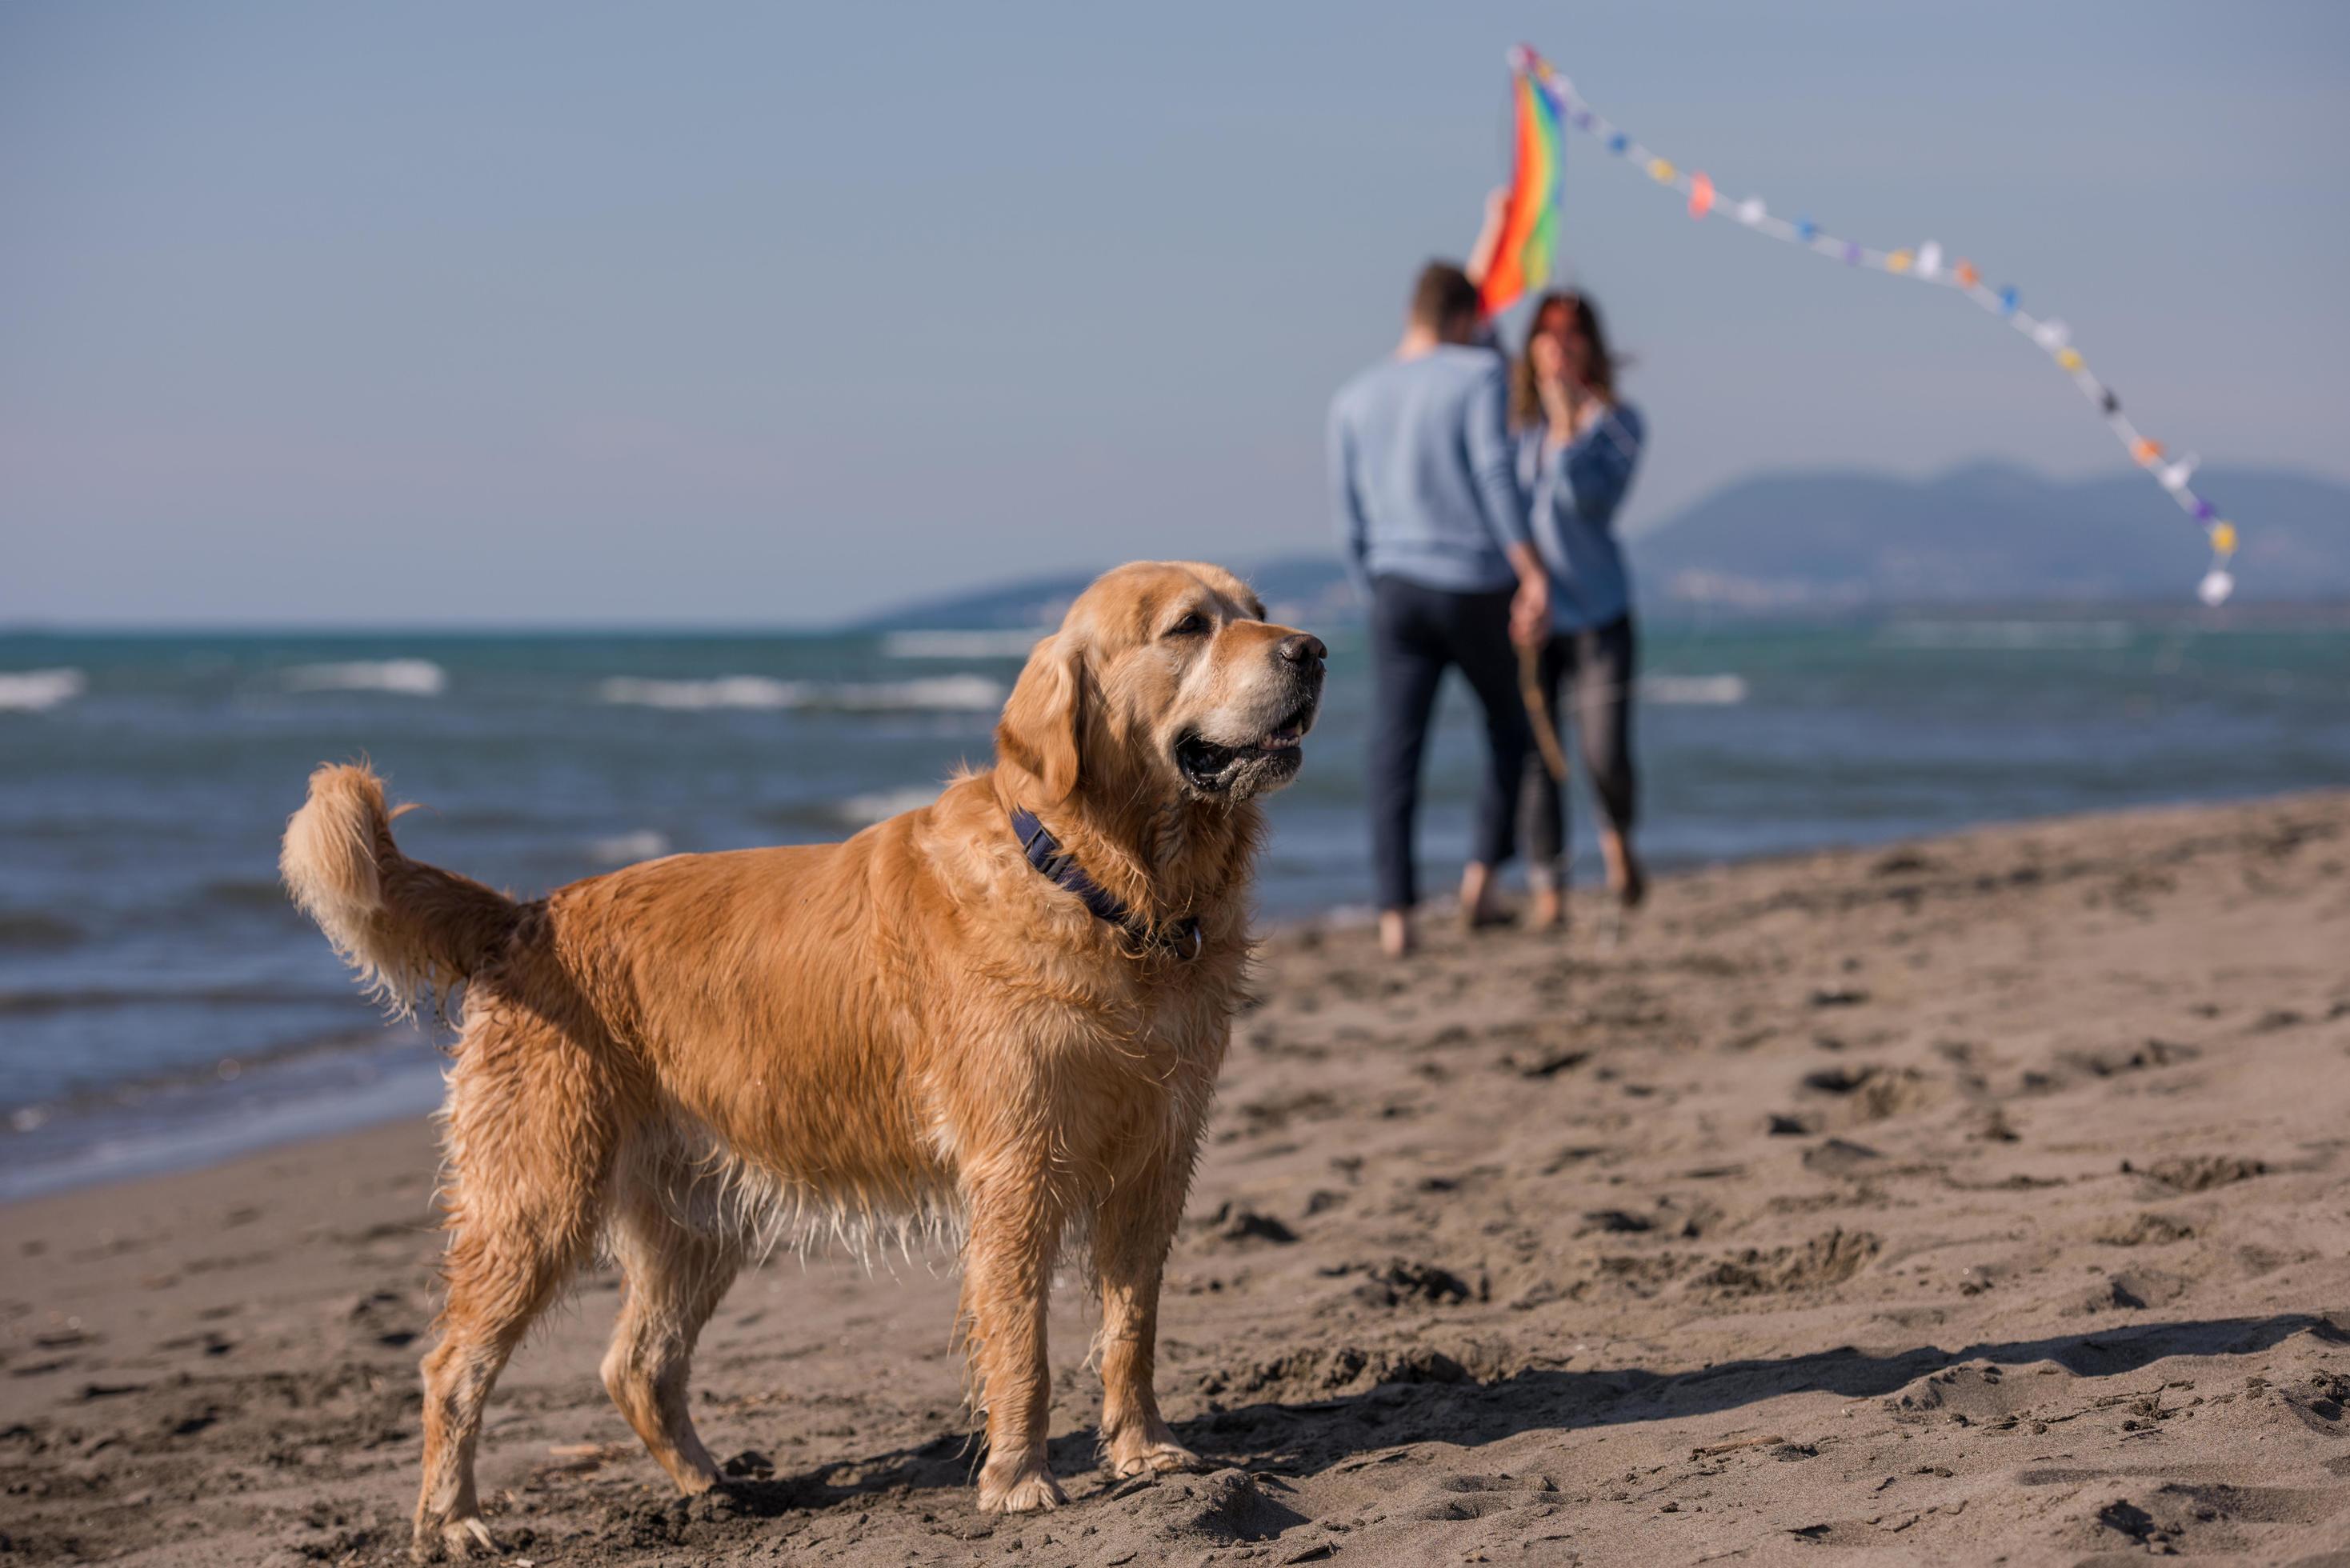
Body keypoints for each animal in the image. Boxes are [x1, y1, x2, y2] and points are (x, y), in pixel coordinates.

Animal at [279, 562, 1325, 1561]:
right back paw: (452, 1521)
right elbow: (1020, 1342)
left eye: (1256, 606)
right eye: (1187, 626)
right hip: (536, 1199)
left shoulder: (1157, 1158)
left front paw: (1145, 1451)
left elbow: (1130, 1327)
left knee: (635, 1364)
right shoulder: (1017, 1167)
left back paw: (716, 1489)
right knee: (453, 1368)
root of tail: (527, 912)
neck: (1098, 884)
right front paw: (1020, 1480)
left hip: (695, 1220)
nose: (1312, 649)